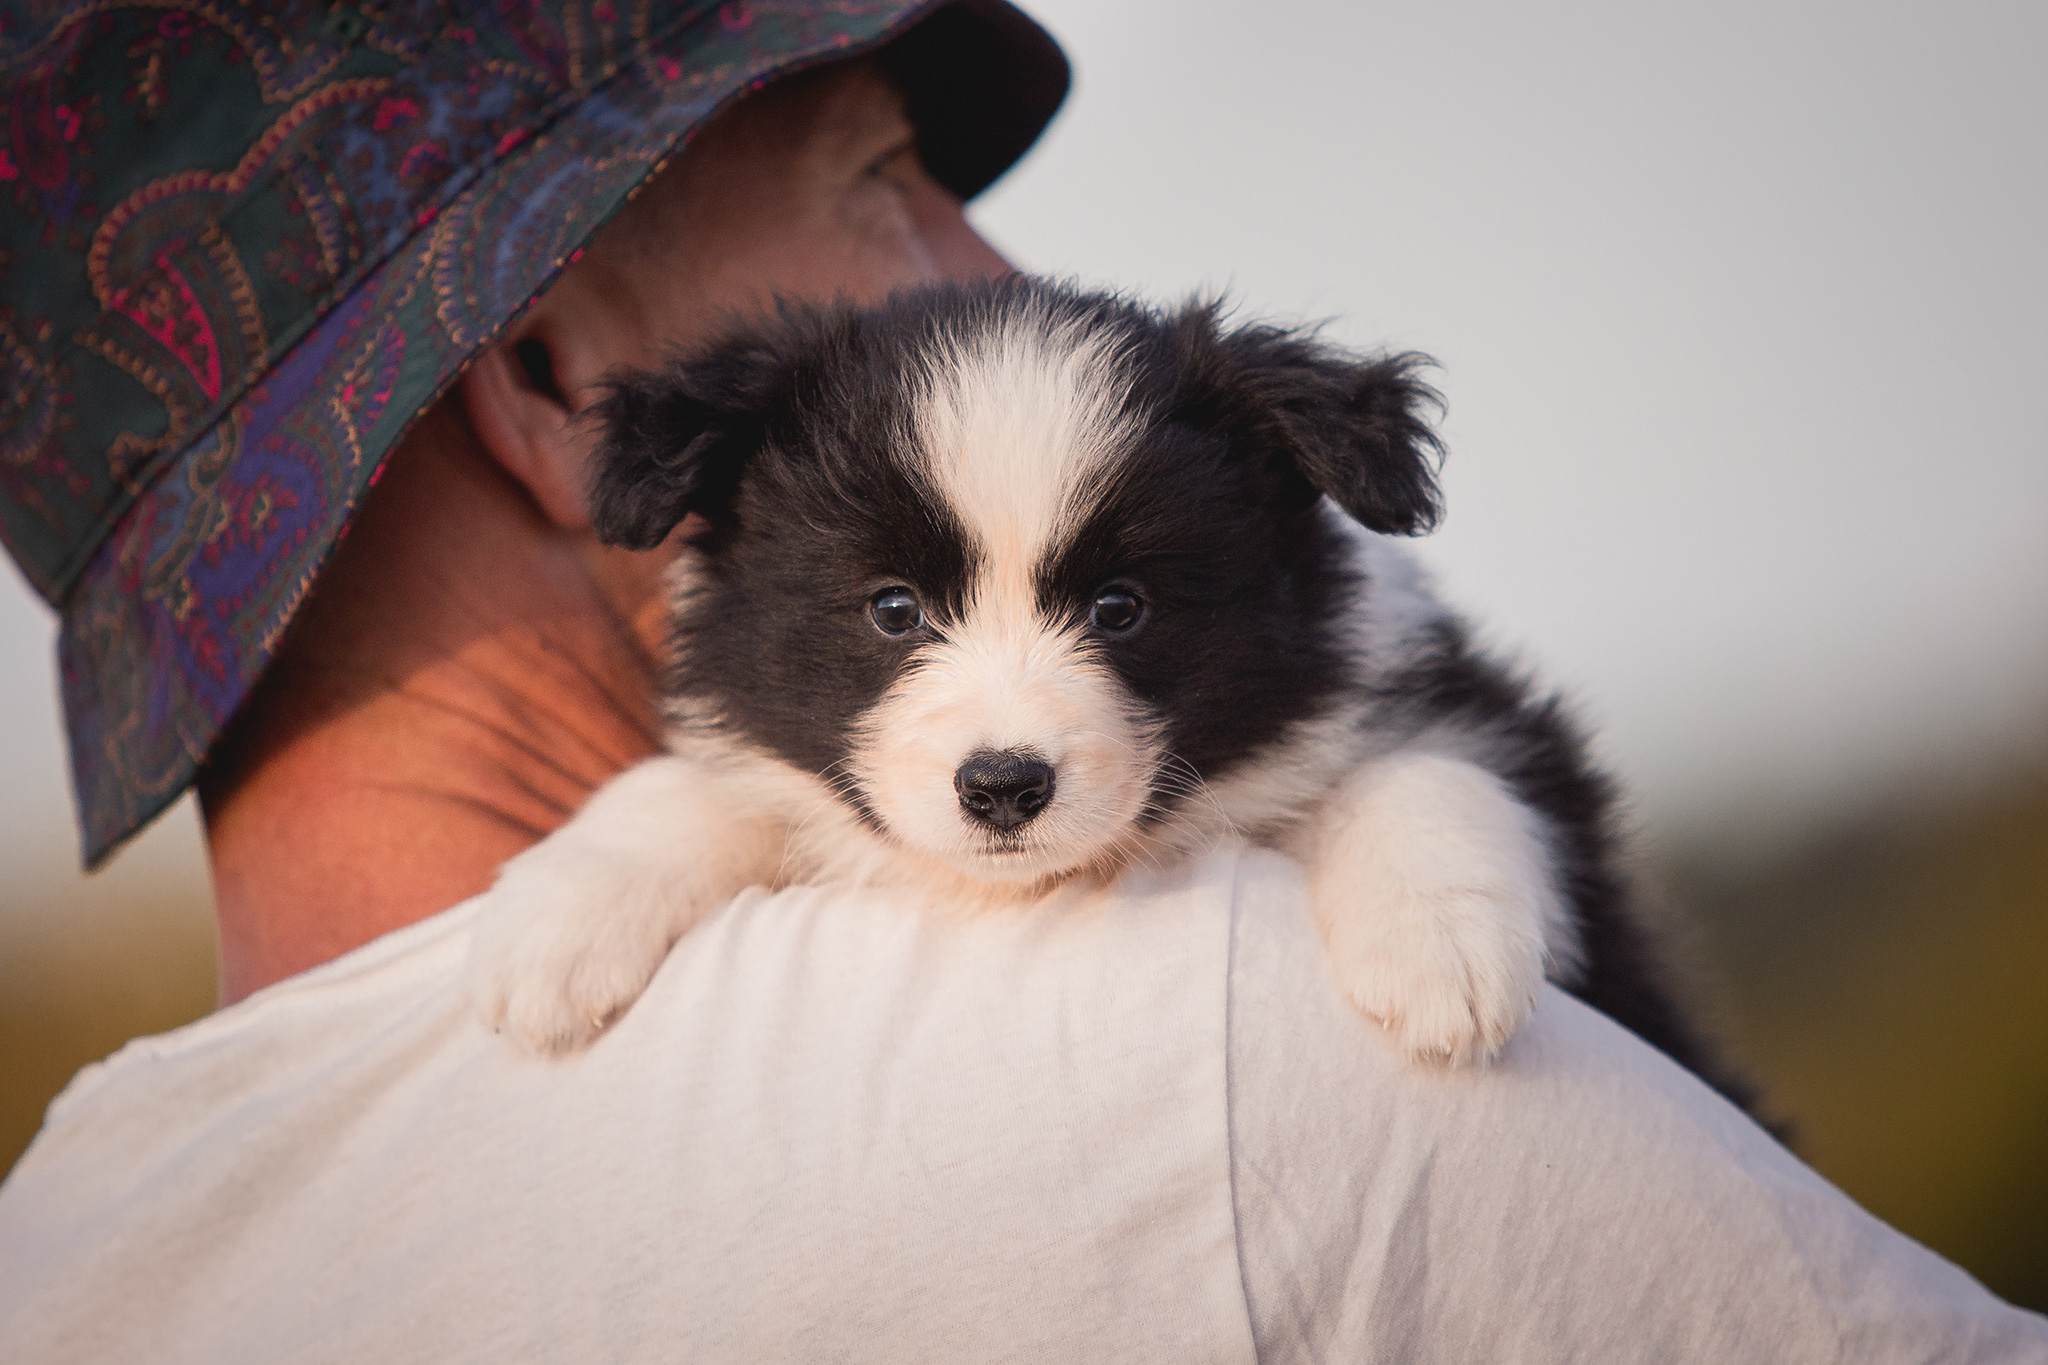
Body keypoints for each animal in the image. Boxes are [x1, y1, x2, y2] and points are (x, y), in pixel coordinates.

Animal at [475, 274, 1744, 1096]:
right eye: (892, 609)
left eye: (1119, 608)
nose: (1001, 786)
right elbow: (686, 786)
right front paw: (551, 928)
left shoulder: (1457, 716)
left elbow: (1436, 765)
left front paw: (1436, 952)